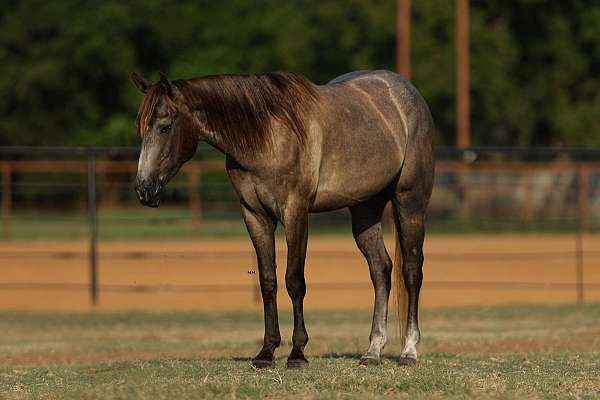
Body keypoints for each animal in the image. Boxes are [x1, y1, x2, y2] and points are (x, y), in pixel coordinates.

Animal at [130, 69, 432, 368]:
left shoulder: (295, 213)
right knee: (380, 269)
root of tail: (406, 92)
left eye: (165, 126)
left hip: (410, 201)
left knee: (412, 270)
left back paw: (409, 351)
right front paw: (266, 352)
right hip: (365, 209)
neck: (266, 135)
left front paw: (297, 353)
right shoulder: (255, 216)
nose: (144, 189)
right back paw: (373, 351)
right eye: (141, 128)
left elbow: (294, 280)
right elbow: (268, 281)